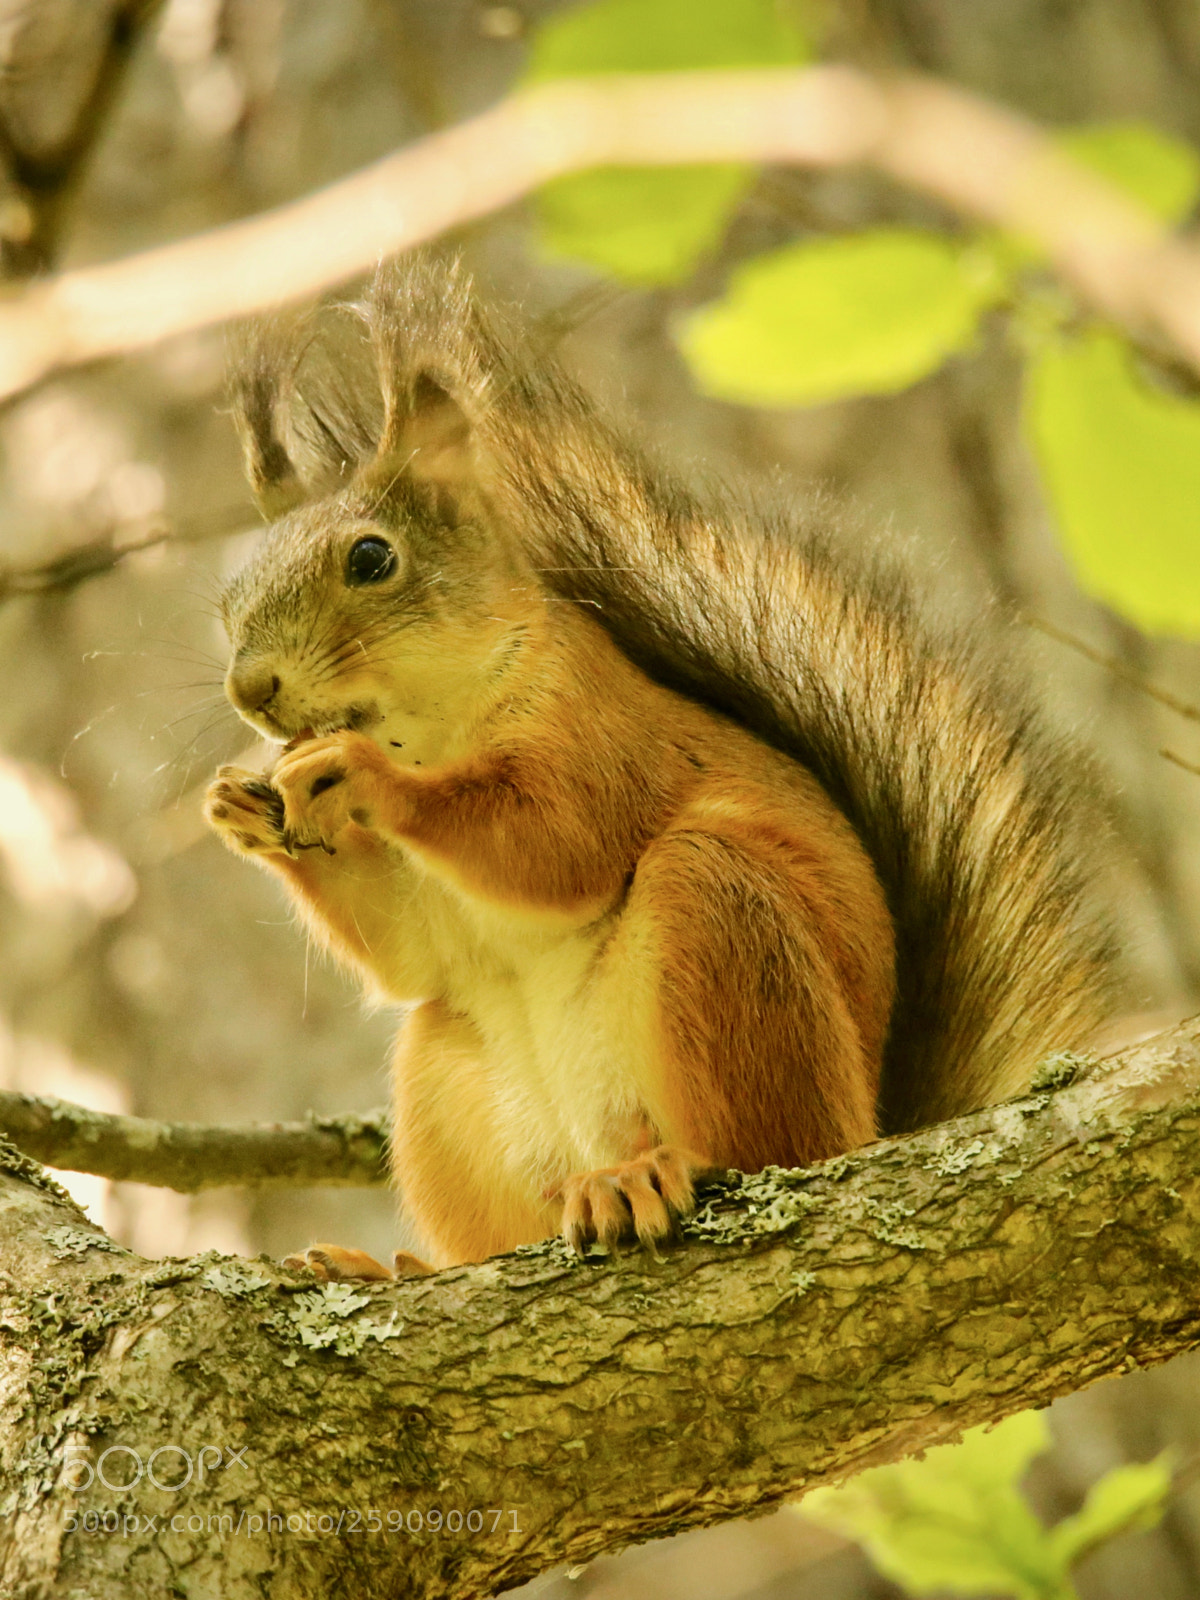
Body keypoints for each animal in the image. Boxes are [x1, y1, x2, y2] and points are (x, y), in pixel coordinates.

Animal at [204, 255, 1118, 1280]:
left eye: (371, 558)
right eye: (228, 598)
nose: (251, 689)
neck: (432, 729)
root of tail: (871, 1124)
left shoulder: (597, 734)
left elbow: (553, 845)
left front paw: (366, 777)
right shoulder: (429, 922)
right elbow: (407, 950)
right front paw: (244, 811)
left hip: (726, 931)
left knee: (765, 1146)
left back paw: (653, 1173)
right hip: (447, 1075)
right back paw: (405, 1264)